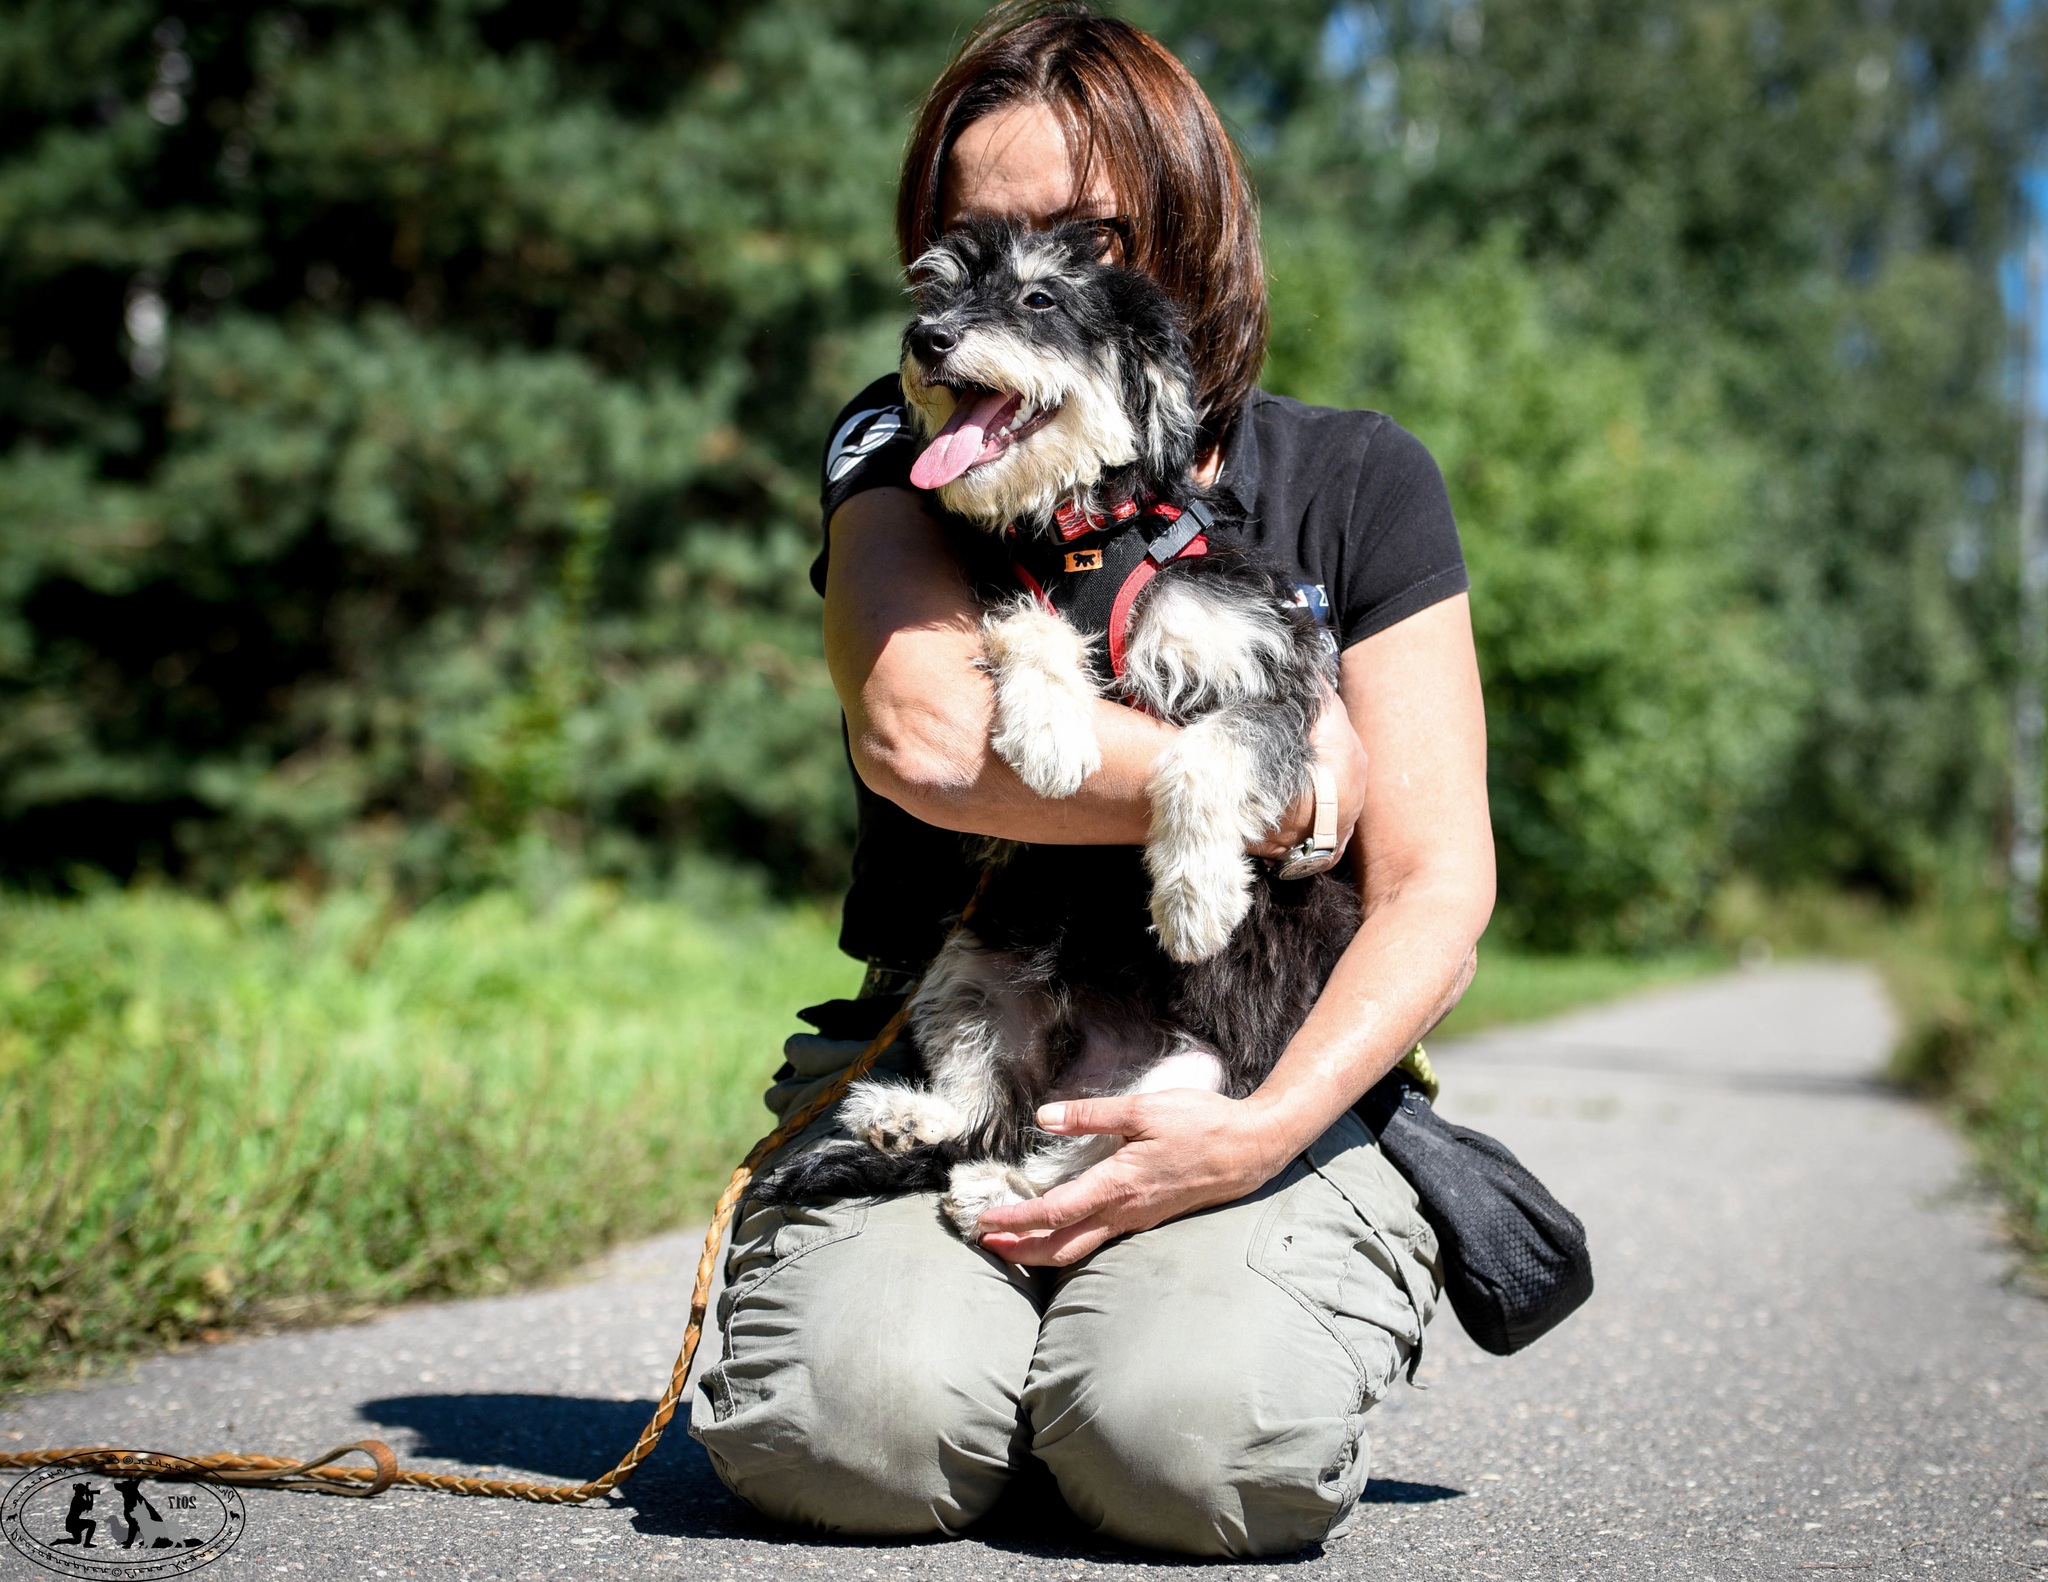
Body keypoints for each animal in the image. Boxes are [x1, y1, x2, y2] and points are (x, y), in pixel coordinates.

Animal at [757, 219, 1359, 1237]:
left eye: (1040, 298)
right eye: (942, 291)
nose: (929, 340)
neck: (1084, 532)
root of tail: (1085, 1071)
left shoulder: (1271, 685)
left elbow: (1208, 751)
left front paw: (1195, 898)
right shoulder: (1008, 609)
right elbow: (1030, 624)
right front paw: (1052, 731)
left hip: (1192, 1086)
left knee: (1081, 1154)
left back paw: (993, 1187)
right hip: (971, 967)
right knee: (992, 1113)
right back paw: (905, 1121)